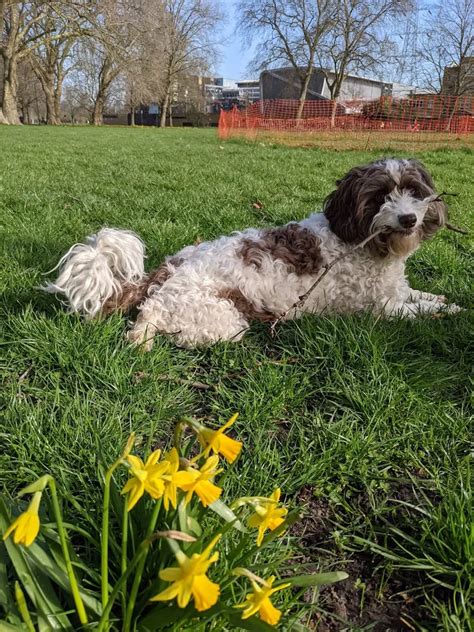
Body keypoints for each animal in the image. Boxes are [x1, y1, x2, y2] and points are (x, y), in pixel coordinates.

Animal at [45, 156, 462, 348]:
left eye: (414, 191)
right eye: (379, 197)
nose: (408, 218)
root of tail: (161, 275)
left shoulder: (396, 291)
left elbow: (421, 296)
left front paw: (444, 300)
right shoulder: (379, 310)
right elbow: (415, 311)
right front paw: (450, 312)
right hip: (221, 321)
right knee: (157, 324)